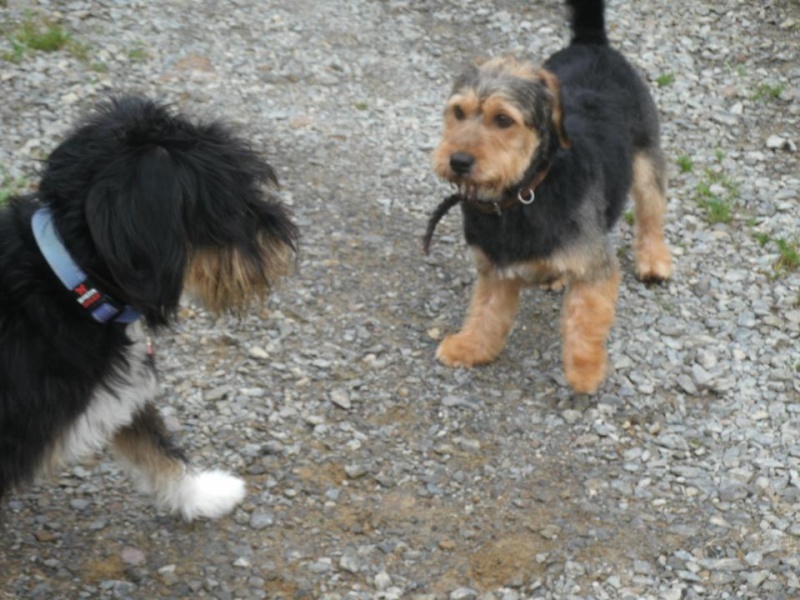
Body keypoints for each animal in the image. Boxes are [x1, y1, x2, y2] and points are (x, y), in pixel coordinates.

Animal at [0, 96, 296, 516]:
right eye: (234, 205)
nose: (284, 236)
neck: (71, 287)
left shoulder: (117, 391)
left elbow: (156, 447)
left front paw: (205, 494)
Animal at [428, 0, 672, 394]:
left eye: (503, 119)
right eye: (458, 112)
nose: (458, 161)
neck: (524, 192)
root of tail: (591, 42)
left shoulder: (595, 269)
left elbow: (585, 321)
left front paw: (585, 372)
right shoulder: (495, 270)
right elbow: (485, 313)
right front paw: (470, 347)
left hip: (647, 161)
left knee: (651, 215)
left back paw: (654, 261)